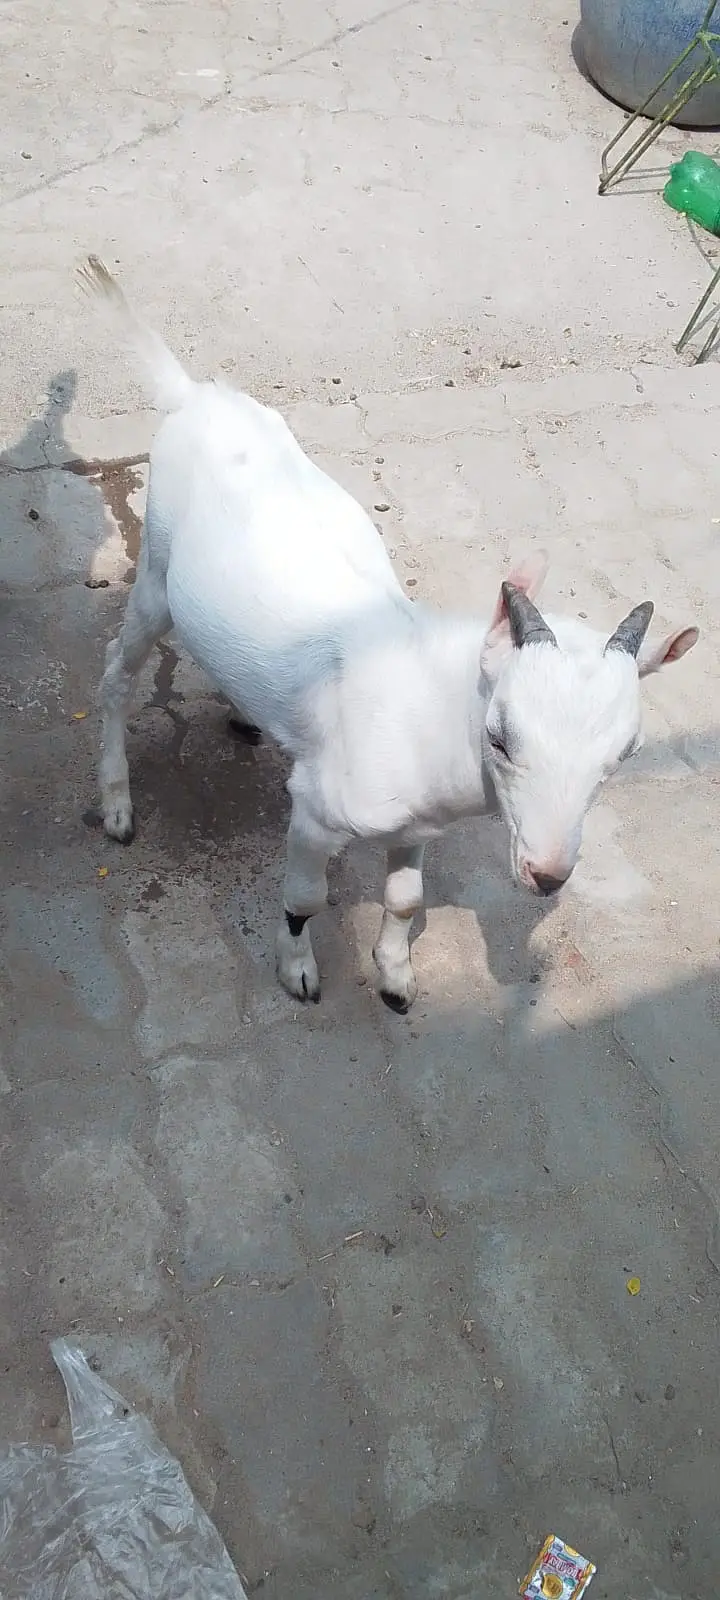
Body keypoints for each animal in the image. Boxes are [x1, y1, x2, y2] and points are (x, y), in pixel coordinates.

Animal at [78, 257, 699, 1012]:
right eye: (500, 736)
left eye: (623, 756)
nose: (547, 875)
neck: (425, 703)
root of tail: (195, 397)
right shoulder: (315, 811)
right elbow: (305, 898)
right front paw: (299, 969)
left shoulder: (419, 827)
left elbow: (406, 899)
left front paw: (396, 975)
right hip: (156, 577)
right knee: (117, 672)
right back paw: (117, 803)